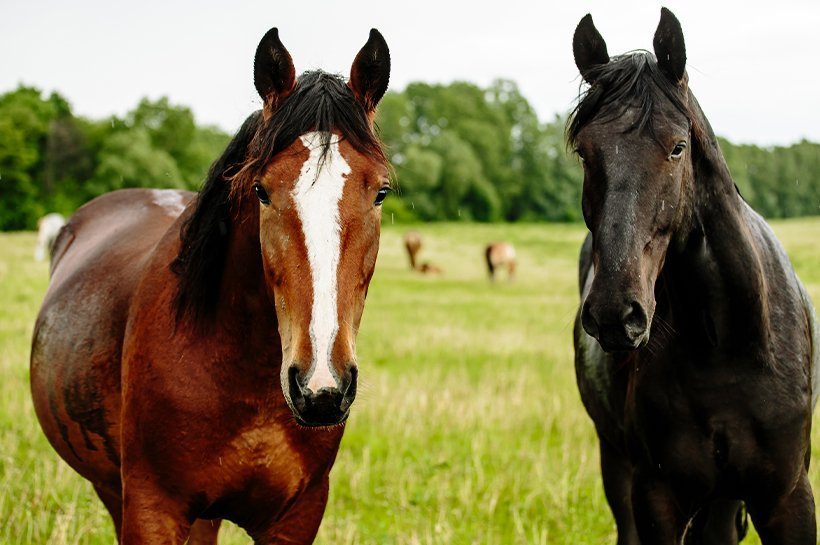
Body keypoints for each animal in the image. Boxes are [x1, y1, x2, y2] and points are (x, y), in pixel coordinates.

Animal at [572, 8, 820, 544]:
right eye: (584, 152)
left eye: (678, 147)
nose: (614, 313)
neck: (725, 346)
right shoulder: (656, 498)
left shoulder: (788, 497)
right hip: (616, 464)